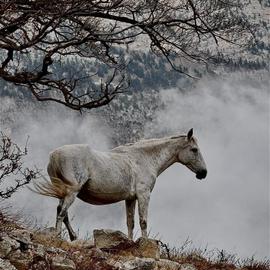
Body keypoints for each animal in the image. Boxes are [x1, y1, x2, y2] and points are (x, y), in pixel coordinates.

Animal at [33, 129, 207, 240]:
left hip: (64, 193)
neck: (143, 159)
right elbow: (143, 221)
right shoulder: (143, 195)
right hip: (71, 192)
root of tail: (54, 155)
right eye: (194, 149)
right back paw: (58, 237)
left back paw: (73, 236)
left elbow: (130, 223)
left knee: (61, 211)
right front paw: (145, 243)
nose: (203, 173)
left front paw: (130, 242)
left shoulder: (130, 198)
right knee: (62, 213)